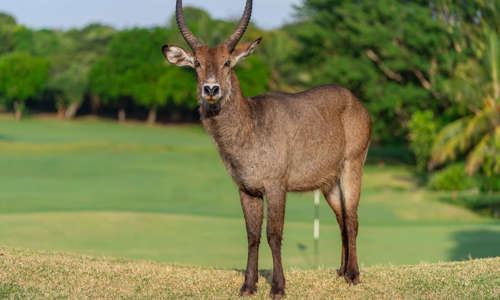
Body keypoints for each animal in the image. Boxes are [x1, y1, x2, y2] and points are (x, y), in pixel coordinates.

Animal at [162, 0, 370, 296]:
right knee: (341, 219)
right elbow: (252, 235)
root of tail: (356, 101)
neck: (250, 125)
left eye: (227, 62)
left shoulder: (275, 186)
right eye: (197, 63)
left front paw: (278, 287)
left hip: (352, 166)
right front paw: (248, 285)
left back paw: (353, 275)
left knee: (352, 219)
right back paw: (341, 271)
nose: (211, 89)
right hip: (328, 182)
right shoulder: (246, 189)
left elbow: (274, 234)